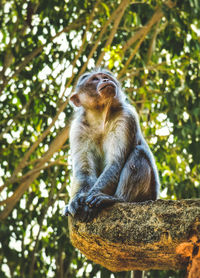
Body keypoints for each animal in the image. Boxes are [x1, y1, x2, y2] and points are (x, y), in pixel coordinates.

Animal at [65, 68, 160, 223]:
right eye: (94, 79)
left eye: (105, 77)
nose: (105, 80)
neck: (99, 116)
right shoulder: (78, 129)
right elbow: (84, 171)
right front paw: (76, 201)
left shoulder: (126, 118)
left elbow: (115, 163)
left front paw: (92, 198)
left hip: (148, 194)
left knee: (138, 153)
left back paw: (118, 199)